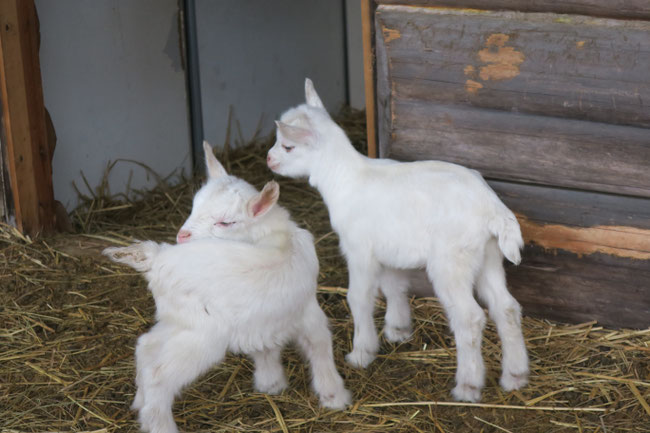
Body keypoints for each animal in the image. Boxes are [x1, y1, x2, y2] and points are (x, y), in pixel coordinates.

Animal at [102, 141, 350, 428]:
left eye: (225, 222)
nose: (182, 235)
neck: (278, 234)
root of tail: (158, 258)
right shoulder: (306, 307)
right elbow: (320, 343)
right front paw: (334, 395)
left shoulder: (262, 317)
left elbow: (266, 348)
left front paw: (271, 383)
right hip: (204, 334)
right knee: (157, 374)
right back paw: (160, 424)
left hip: (180, 320)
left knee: (146, 347)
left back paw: (138, 401)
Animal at [268, 78, 528, 402]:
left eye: (288, 146)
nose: (269, 159)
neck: (345, 177)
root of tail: (493, 208)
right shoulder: (388, 249)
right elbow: (394, 286)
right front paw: (398, 330)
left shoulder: (359, 249)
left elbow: (359, 297)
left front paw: (362, 352)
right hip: (489, 256)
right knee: (506, 307)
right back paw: (515, 376)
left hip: (452, 261)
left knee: (470, 318)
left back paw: (468, 385)